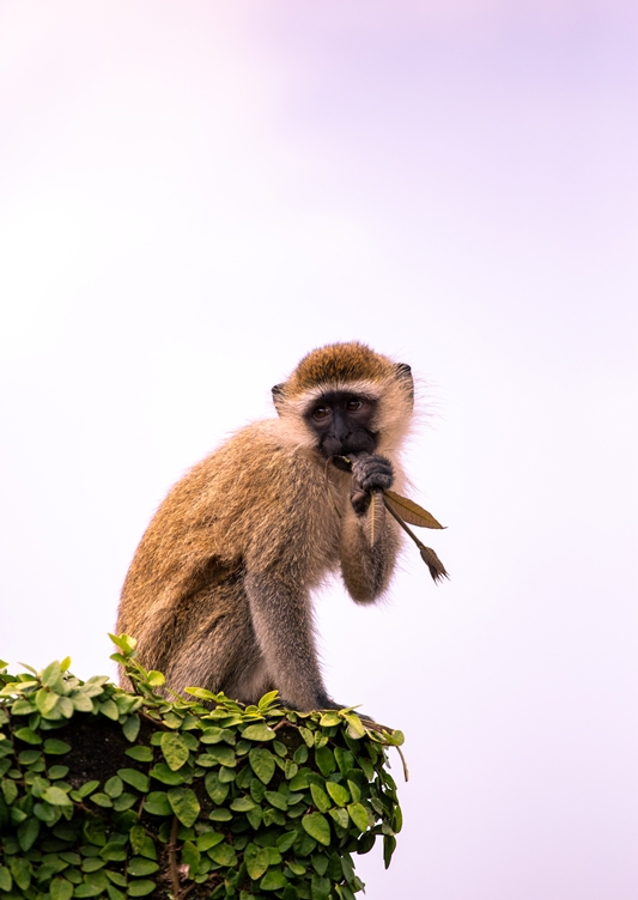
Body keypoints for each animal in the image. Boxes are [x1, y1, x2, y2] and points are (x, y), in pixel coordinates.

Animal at [116, 342, 415, 712]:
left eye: (353, 405)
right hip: (164, 676)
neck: (324, 465)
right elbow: (270, 580)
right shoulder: (288, 477)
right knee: (237, 588)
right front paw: (316, 703)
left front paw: (368, 483)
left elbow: (365, 588)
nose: (341, 435)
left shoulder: (393, 471)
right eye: (320, 412)